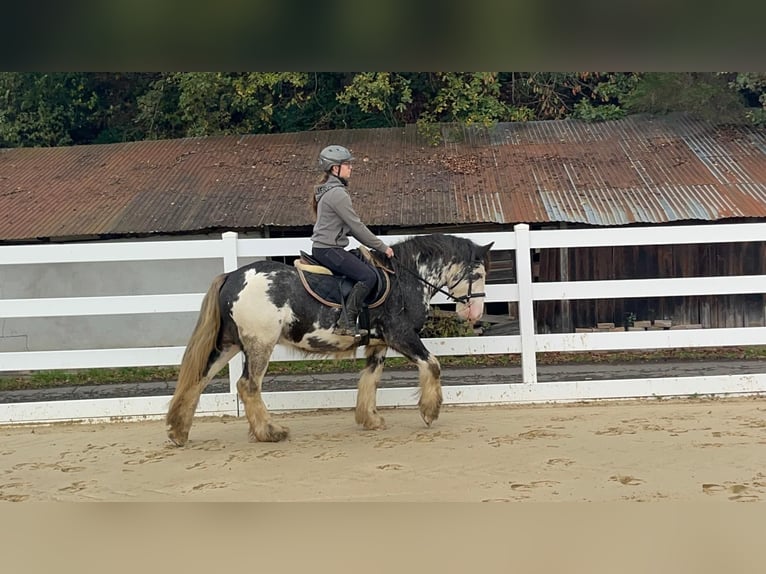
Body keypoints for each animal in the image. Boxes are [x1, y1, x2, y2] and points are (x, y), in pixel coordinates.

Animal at [166, 233, 493, 445]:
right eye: (478, 274)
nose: (476, 312)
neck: (404, 279)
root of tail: (233, 276)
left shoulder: (378, 344)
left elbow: (370, 380)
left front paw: (370, 420)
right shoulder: (401, 336)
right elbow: (433, 364)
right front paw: (429, 411)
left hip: (228, 345)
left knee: (198, 379)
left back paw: (178, 432)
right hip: (259, 345)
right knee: (248, 385)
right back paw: (270, 432)